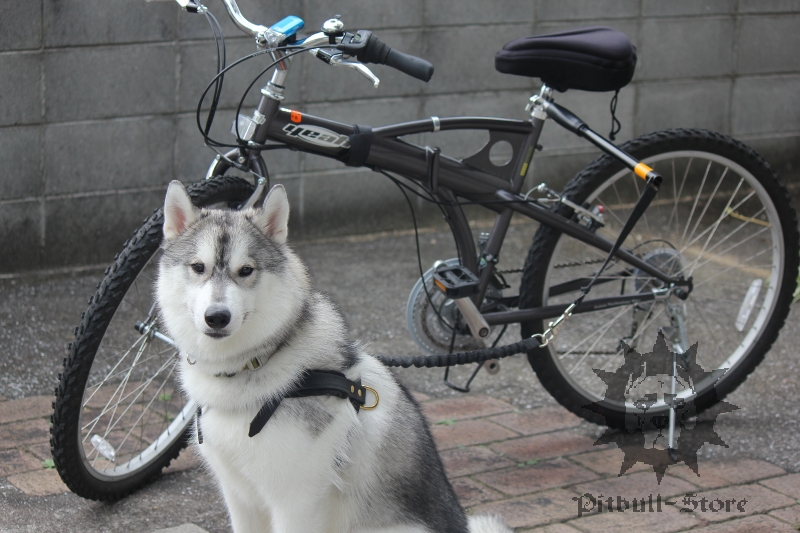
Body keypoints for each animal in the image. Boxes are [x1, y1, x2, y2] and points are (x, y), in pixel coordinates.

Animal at [155, 182, 512, 532]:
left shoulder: (296, 502)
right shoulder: (239, 497)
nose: (217, 317)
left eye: (246, 270)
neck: (253, 364)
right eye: (198, 267)